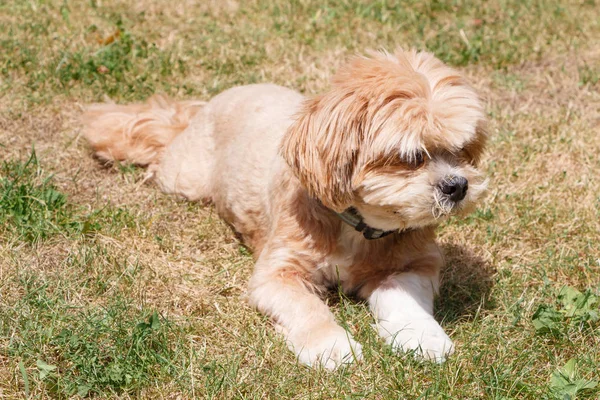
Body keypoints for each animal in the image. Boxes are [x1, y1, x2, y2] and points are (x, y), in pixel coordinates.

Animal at [82, 48, 488, 370]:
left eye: (463, 150)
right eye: (412, 157)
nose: (457, 186)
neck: (355, 226)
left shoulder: (415, 264)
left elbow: (404, 298)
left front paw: (423, 337)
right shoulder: (277, 274)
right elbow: (307, 308)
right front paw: (331, 346)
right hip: (183, 178)